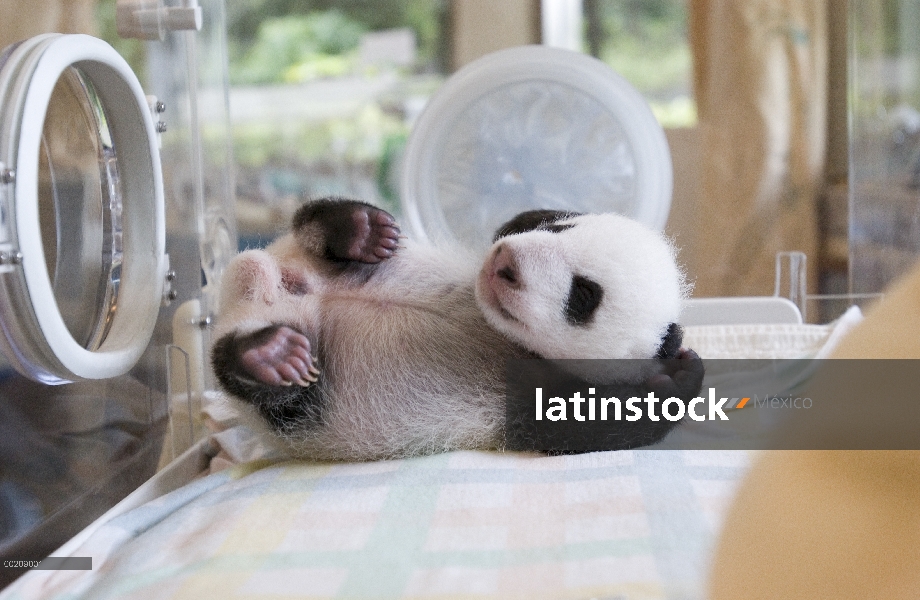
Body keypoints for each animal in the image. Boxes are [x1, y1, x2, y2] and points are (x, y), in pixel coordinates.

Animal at [212, 199, 700, 462]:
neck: (500, 335)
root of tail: (252, 293)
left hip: (311, 406)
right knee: (313, 218)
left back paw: (271, 355)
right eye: (562, 228)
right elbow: (513, 218)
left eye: (583, 295)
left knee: (270, 389)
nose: (505, 263)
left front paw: (681, 377)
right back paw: (358, 231)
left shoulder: (526, 394)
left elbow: (585, 429)